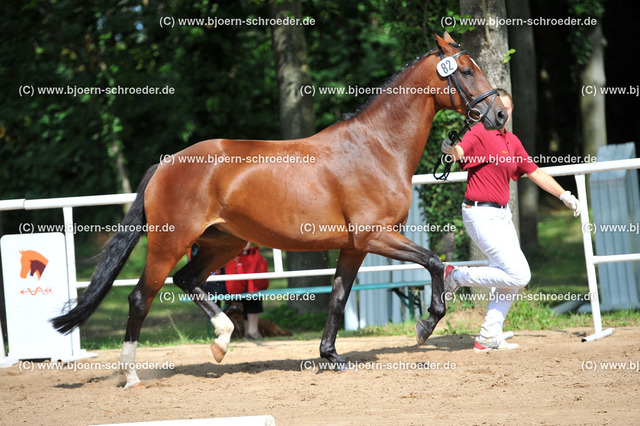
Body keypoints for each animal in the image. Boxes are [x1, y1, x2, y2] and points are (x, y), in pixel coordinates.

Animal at [52, 31, 504, 388]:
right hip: (170, 243)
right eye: (466, 72)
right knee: (140, 298)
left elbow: (338, 298)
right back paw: (131, 374)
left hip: (223, 243)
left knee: (187, 280)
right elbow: (434, 261)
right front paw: (426, 325)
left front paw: (330, 357)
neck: (376, 147)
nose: (499, 114)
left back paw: (221, 340)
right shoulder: (376, 236)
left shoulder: (354, 247)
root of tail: (166, 163)